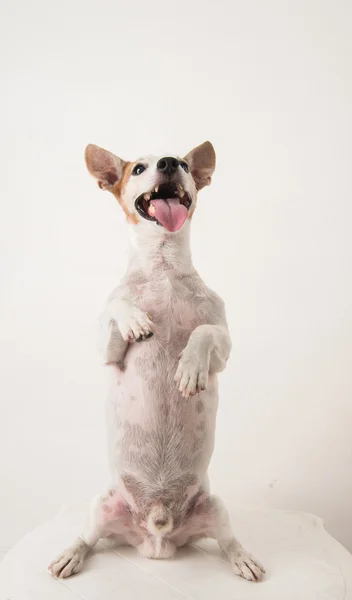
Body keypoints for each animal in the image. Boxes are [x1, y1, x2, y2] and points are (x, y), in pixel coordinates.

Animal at [48, 141, 264, 580]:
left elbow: (204, 332)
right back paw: (71, 554)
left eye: (184, 165)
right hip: (101, 506)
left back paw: (242, 558)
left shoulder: (224, 346)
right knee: (88, 538)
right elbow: (117, 307)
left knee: (227, 540)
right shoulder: (107, 352)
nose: (169, 163)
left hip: (215, 508)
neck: (163, 266)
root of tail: (157, 536)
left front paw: (189, 369)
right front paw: (135, 319)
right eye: (138, 168)